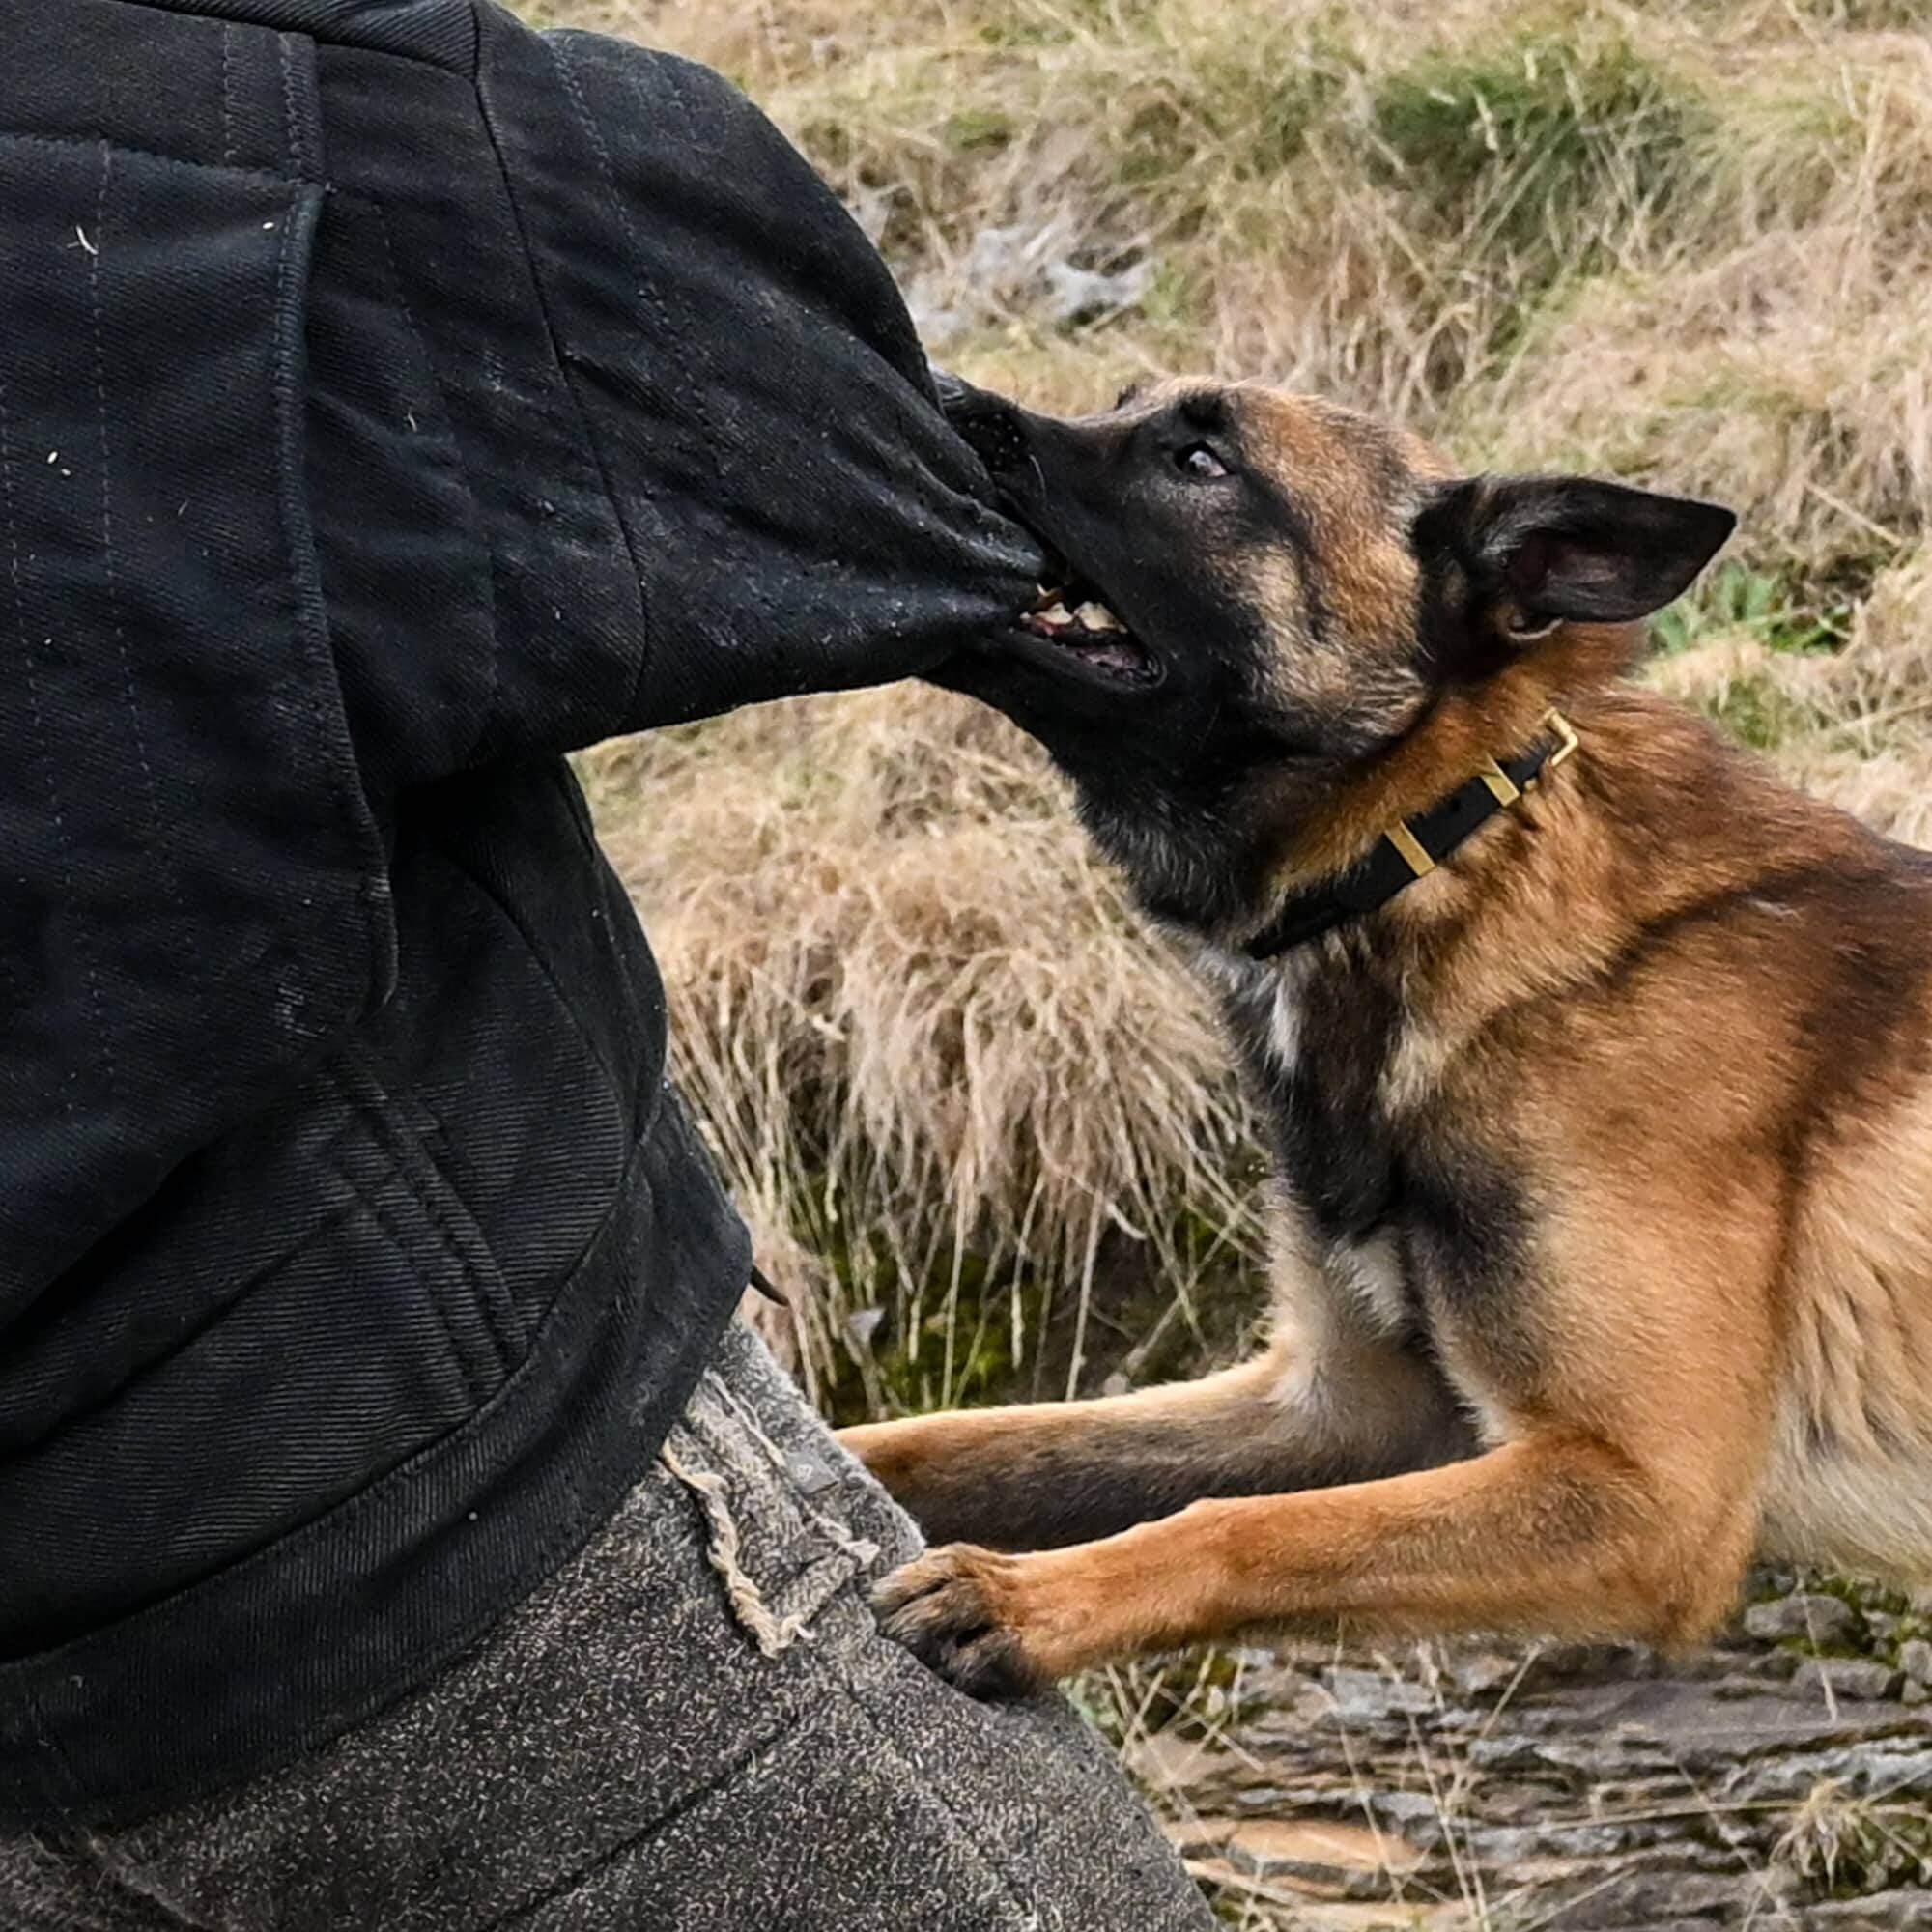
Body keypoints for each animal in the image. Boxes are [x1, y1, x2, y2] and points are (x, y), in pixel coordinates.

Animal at [838, 373, 1932, 1692]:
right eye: (1124, 400)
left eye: (1199, 461)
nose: (933, 391)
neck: (1441, 849)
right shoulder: (1331, 1409)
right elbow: (972, 1438)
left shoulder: (1638, 1498)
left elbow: (1244, 1529)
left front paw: (1032, 1598)